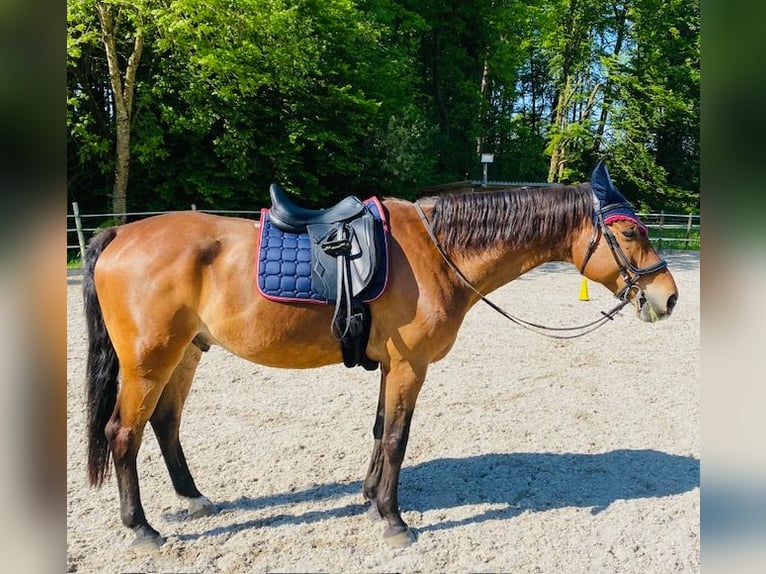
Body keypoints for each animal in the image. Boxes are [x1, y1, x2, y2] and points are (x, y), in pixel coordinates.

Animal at [84, 177, 680, 548]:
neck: (439, 251)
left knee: (165, 424)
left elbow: (378, 431)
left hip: (185, 353)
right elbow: (397, 438)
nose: (669, 297)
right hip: (149, 362)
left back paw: (192, 498)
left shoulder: (392, 365)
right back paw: (141, 528)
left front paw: (370, 498)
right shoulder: (411, 365)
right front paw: (394, 520)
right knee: (123, 434)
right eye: (630, 231)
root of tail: (120, 233)